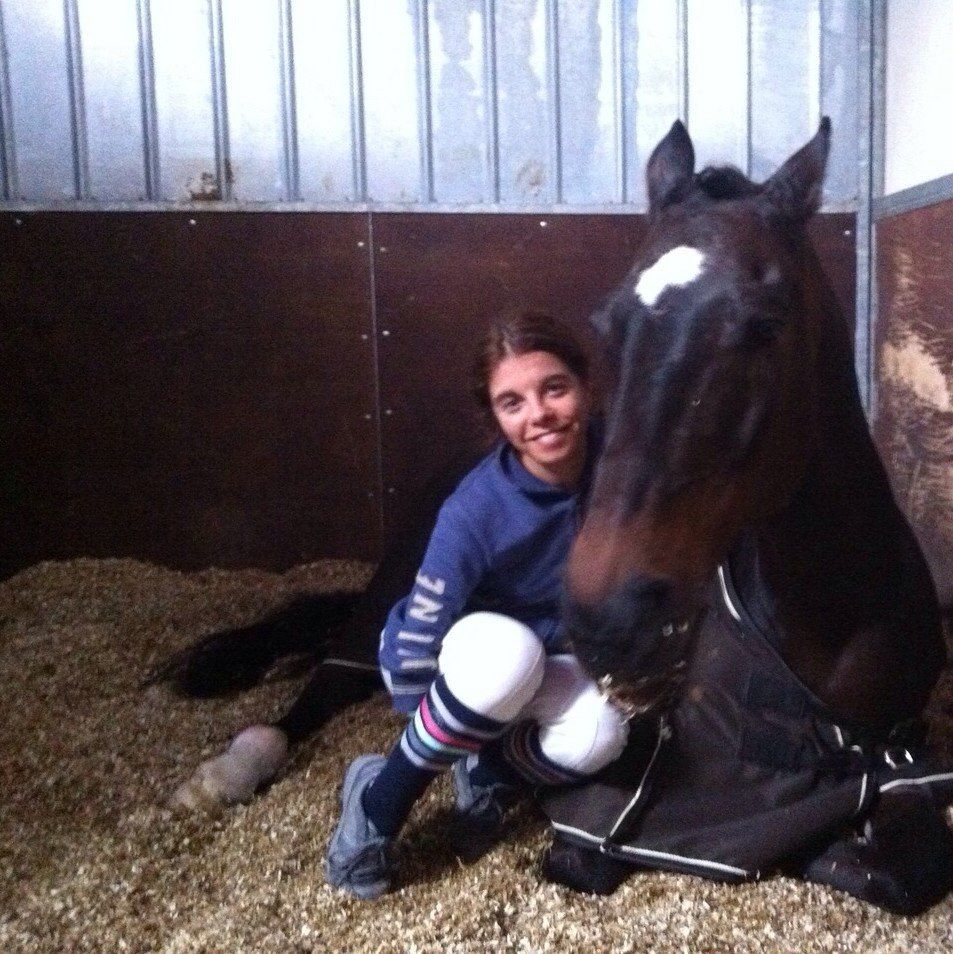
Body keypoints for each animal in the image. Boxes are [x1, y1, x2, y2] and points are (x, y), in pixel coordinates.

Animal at [542, 118, 953, 914]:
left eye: (764, 324)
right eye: (607, 322)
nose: (610, 618)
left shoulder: (905, 751)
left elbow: (878, 868)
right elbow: (579, 855)